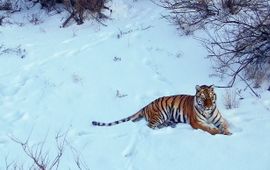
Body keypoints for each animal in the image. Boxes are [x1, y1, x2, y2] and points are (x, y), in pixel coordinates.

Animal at [92, 85, 231, 135]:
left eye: (210, 97)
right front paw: (218, 132)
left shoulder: (219, 119)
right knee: (150, 126)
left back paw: (170, 125)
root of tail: (146, 105)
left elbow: (224, 124)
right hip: (160, 114)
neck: (207, 112)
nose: (208, 106)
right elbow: (208, 128)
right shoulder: (196, 122)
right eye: (203, 98)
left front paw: (227, 132)